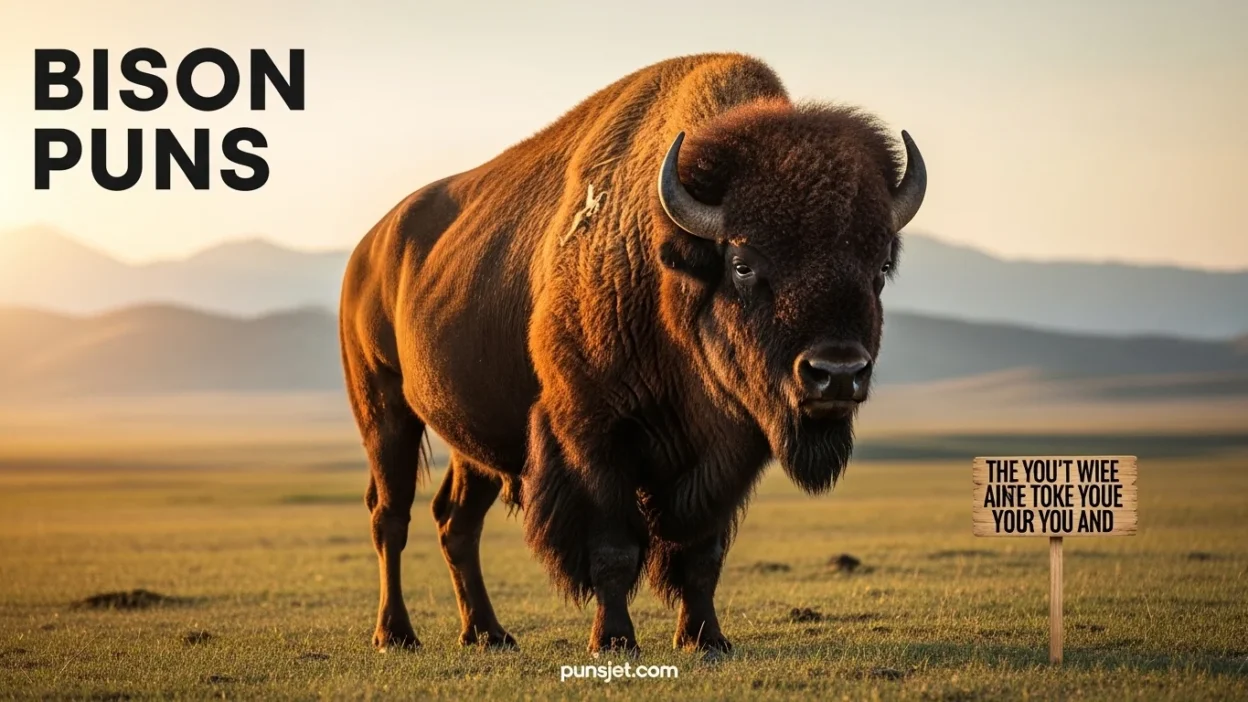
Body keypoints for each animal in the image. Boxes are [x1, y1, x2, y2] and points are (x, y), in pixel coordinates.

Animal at [339, 53, 926, 655]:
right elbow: (614, 551)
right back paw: (395, 634)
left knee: (456, 521)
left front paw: (704, 638)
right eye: (742, 263)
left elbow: (703, 554)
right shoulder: (594, 438)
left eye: (880, 265)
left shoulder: (725, 455)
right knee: (391, 516)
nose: (837, 373)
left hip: (471, 444)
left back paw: (487, 632)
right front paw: (614, 639)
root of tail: (368, 249)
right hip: (384, 411)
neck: (667, 273)